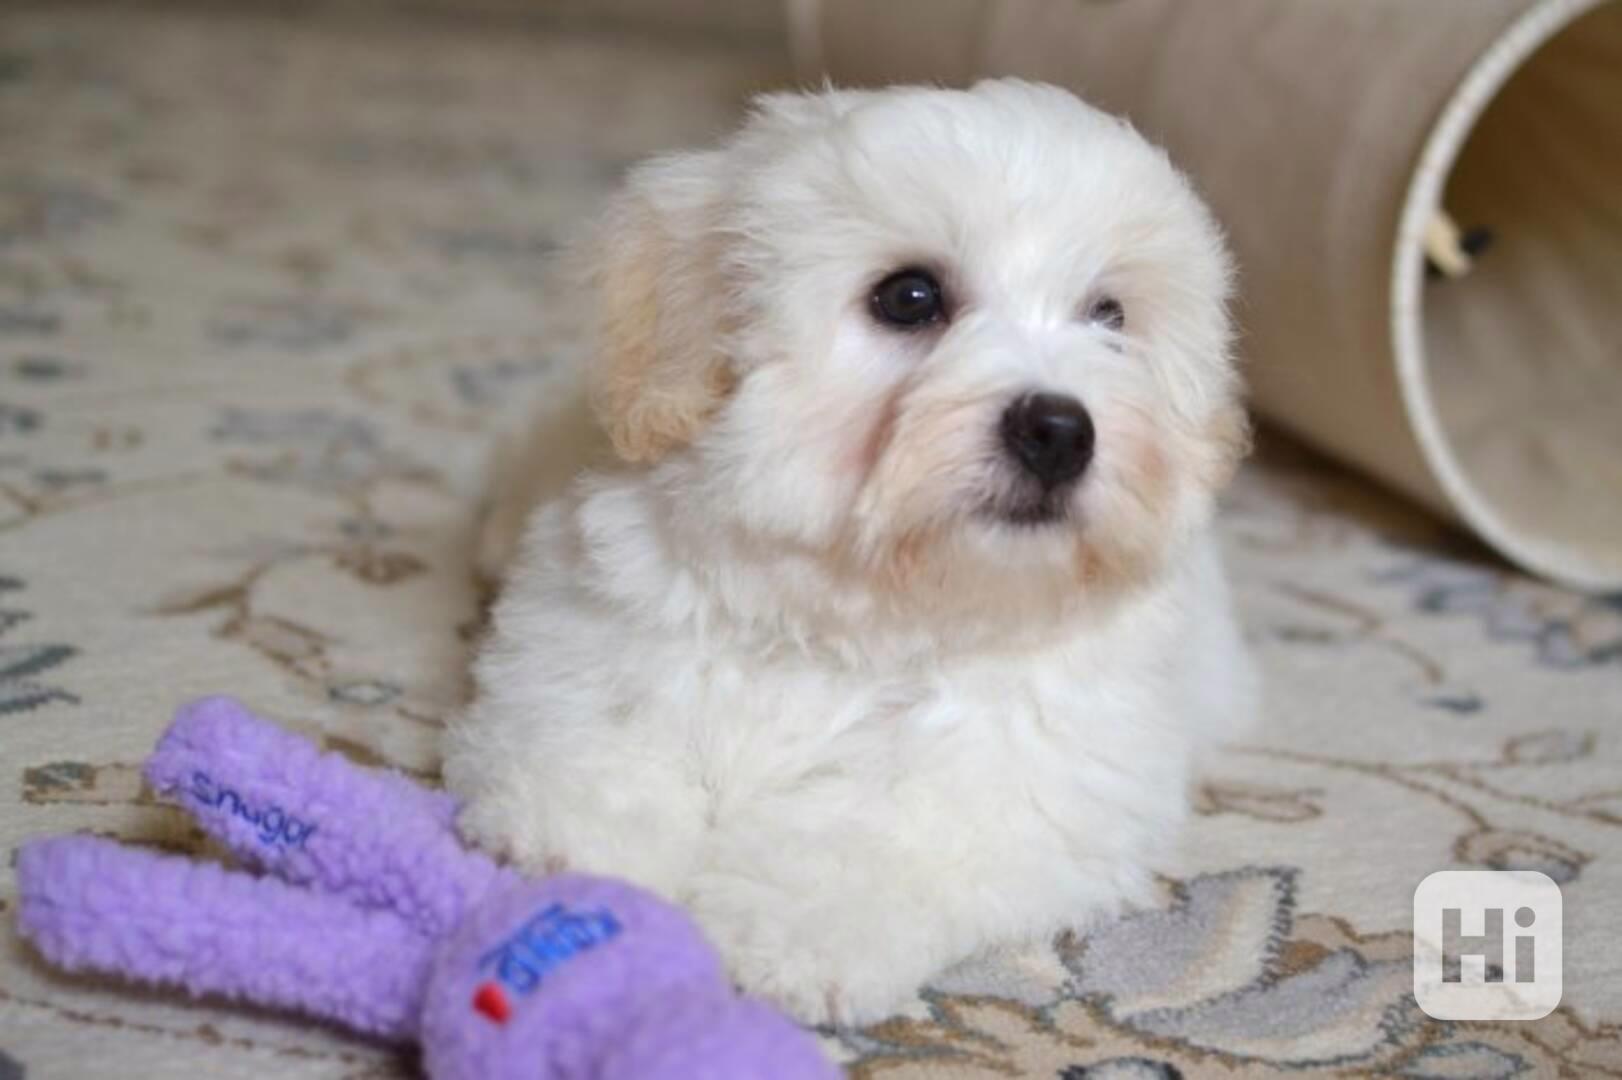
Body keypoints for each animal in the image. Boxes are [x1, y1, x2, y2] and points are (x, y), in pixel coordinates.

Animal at [444, 79, 1252, 1024]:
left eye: (1110, 316)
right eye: (909, 298)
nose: (1059, 431)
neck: (858, 617)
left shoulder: (1023, 776)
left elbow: (884, 835)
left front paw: (790, 940)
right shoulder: (600, 625)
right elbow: (603, 725)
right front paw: (577, 843)